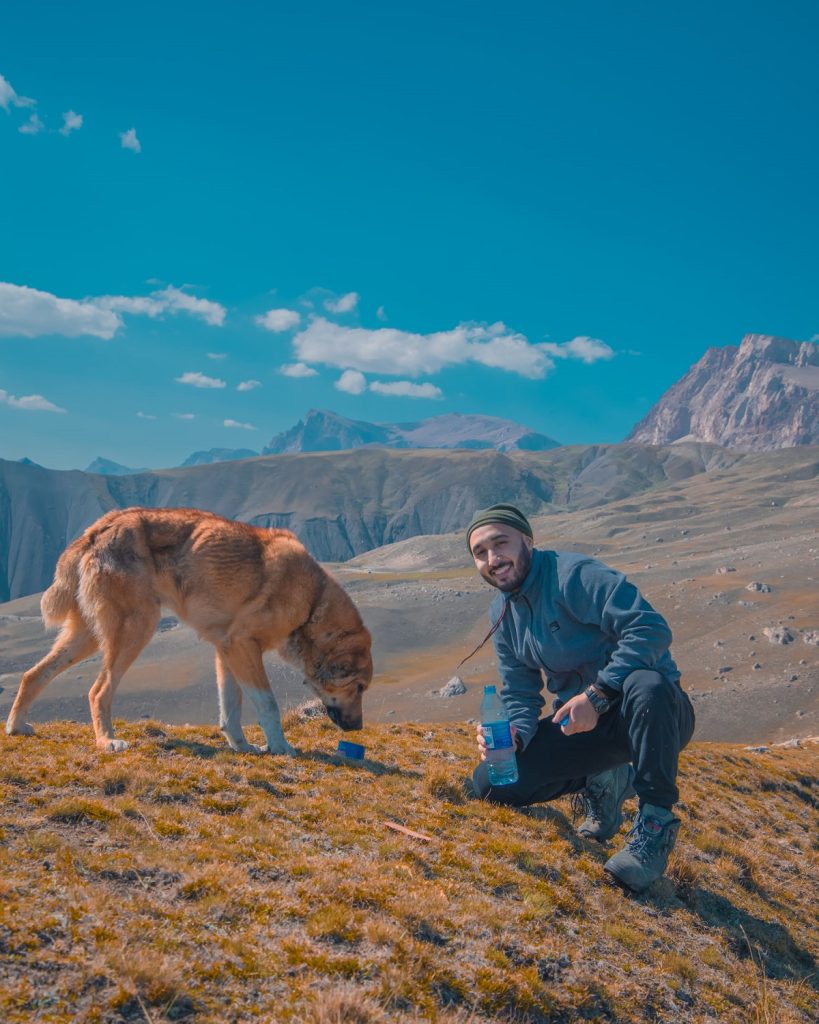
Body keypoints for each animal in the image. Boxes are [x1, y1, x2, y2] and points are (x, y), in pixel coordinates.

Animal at [5, 505, 370, 753]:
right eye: (360, 687)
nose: (358, 728)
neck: (312, 600)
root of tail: (100, 527)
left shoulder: (228, 651)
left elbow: (231, 707)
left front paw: (242, 746)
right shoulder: (243, 646)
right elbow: (267, 704)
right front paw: (281, 748)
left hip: (88, 637)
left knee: (33, 674)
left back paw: (16, 725)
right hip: (135, 629)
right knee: (98, 690)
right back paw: (107, 741)